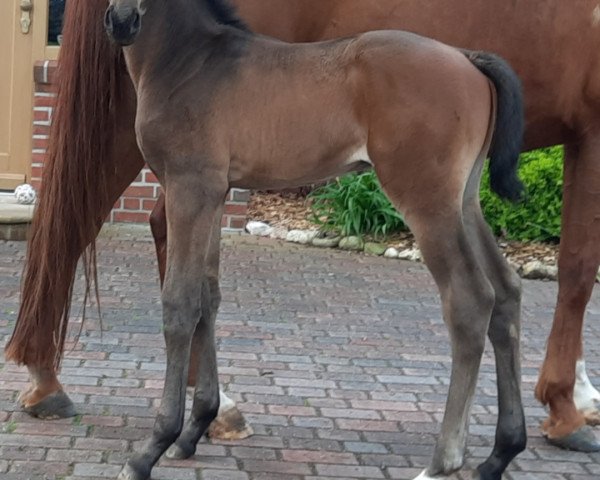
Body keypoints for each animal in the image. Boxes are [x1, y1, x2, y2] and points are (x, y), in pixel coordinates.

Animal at [8, 0, 600, 456]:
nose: (122, 21)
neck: (193, 60)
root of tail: (467, 58)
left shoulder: (189, 187)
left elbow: (180, 303)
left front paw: (158, 442)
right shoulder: (213, 192)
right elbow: (209, 296)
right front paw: (200, 426)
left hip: (426, 200)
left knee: (471, 300)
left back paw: (446, 460)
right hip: (464, 200)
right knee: (507, 291)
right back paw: (500, 452)